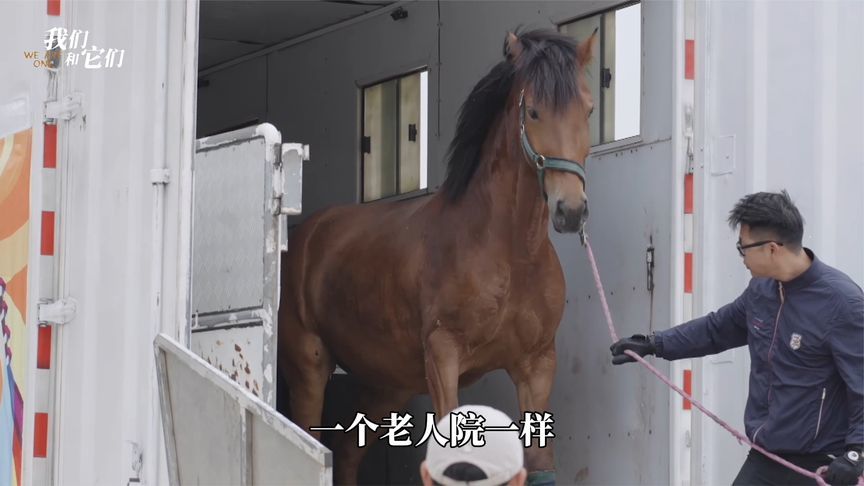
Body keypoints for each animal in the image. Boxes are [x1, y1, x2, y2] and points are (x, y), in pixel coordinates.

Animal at [278, 28, 597, 485]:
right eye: (534, 111)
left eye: (588, 109)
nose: (570, 210)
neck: (510, 254)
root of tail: (303, 237)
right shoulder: (444, 355)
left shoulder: (536, 365)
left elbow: (540, 466)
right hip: (310, 369)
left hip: (389, 384)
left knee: (347, 453)